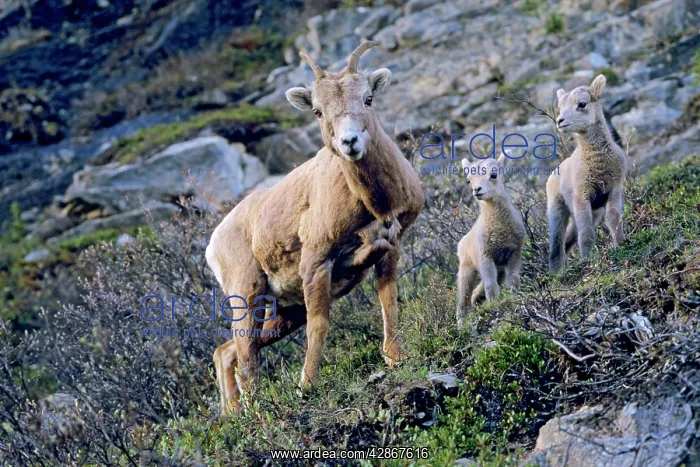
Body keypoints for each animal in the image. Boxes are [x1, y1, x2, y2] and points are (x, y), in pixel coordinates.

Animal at [208, 41, 424, 413]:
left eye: (368, 98)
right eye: (317, 111)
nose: (349, 142)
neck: (374, 204)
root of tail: (213, 245)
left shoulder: (390, 246)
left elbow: (389, 297)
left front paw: (395, 358)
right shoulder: (316, 264)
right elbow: (320, 324)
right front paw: (306, 387)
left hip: (286, 311)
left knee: (229, 351)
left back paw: (234, 414)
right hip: (247, 294)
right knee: (247, 353)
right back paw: (256, 413)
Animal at [456, 154, 525, 328]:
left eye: (493, 174)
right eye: (469, 180)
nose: (477, 190)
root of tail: (462, 242)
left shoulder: (514, 253)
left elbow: (513, 280)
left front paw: (515, 298)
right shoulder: (485, 257)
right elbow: (491, 287)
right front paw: (495, 306)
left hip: (499, 269)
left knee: (476, 293)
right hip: (467, 268)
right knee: (463, 299)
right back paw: (462, 325)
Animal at [547, 74, 627, 273]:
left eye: (582, 104)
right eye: (560, 107)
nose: (560, 121)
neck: (597, 163)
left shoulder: (613, 189)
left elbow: (614, 219)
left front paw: (620, 244)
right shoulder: (581, 196)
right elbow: (587, 232)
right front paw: (587, 259)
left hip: (591, 211)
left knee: (568, 240)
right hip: (557, 210)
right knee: (557, 241)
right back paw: (556, 272)